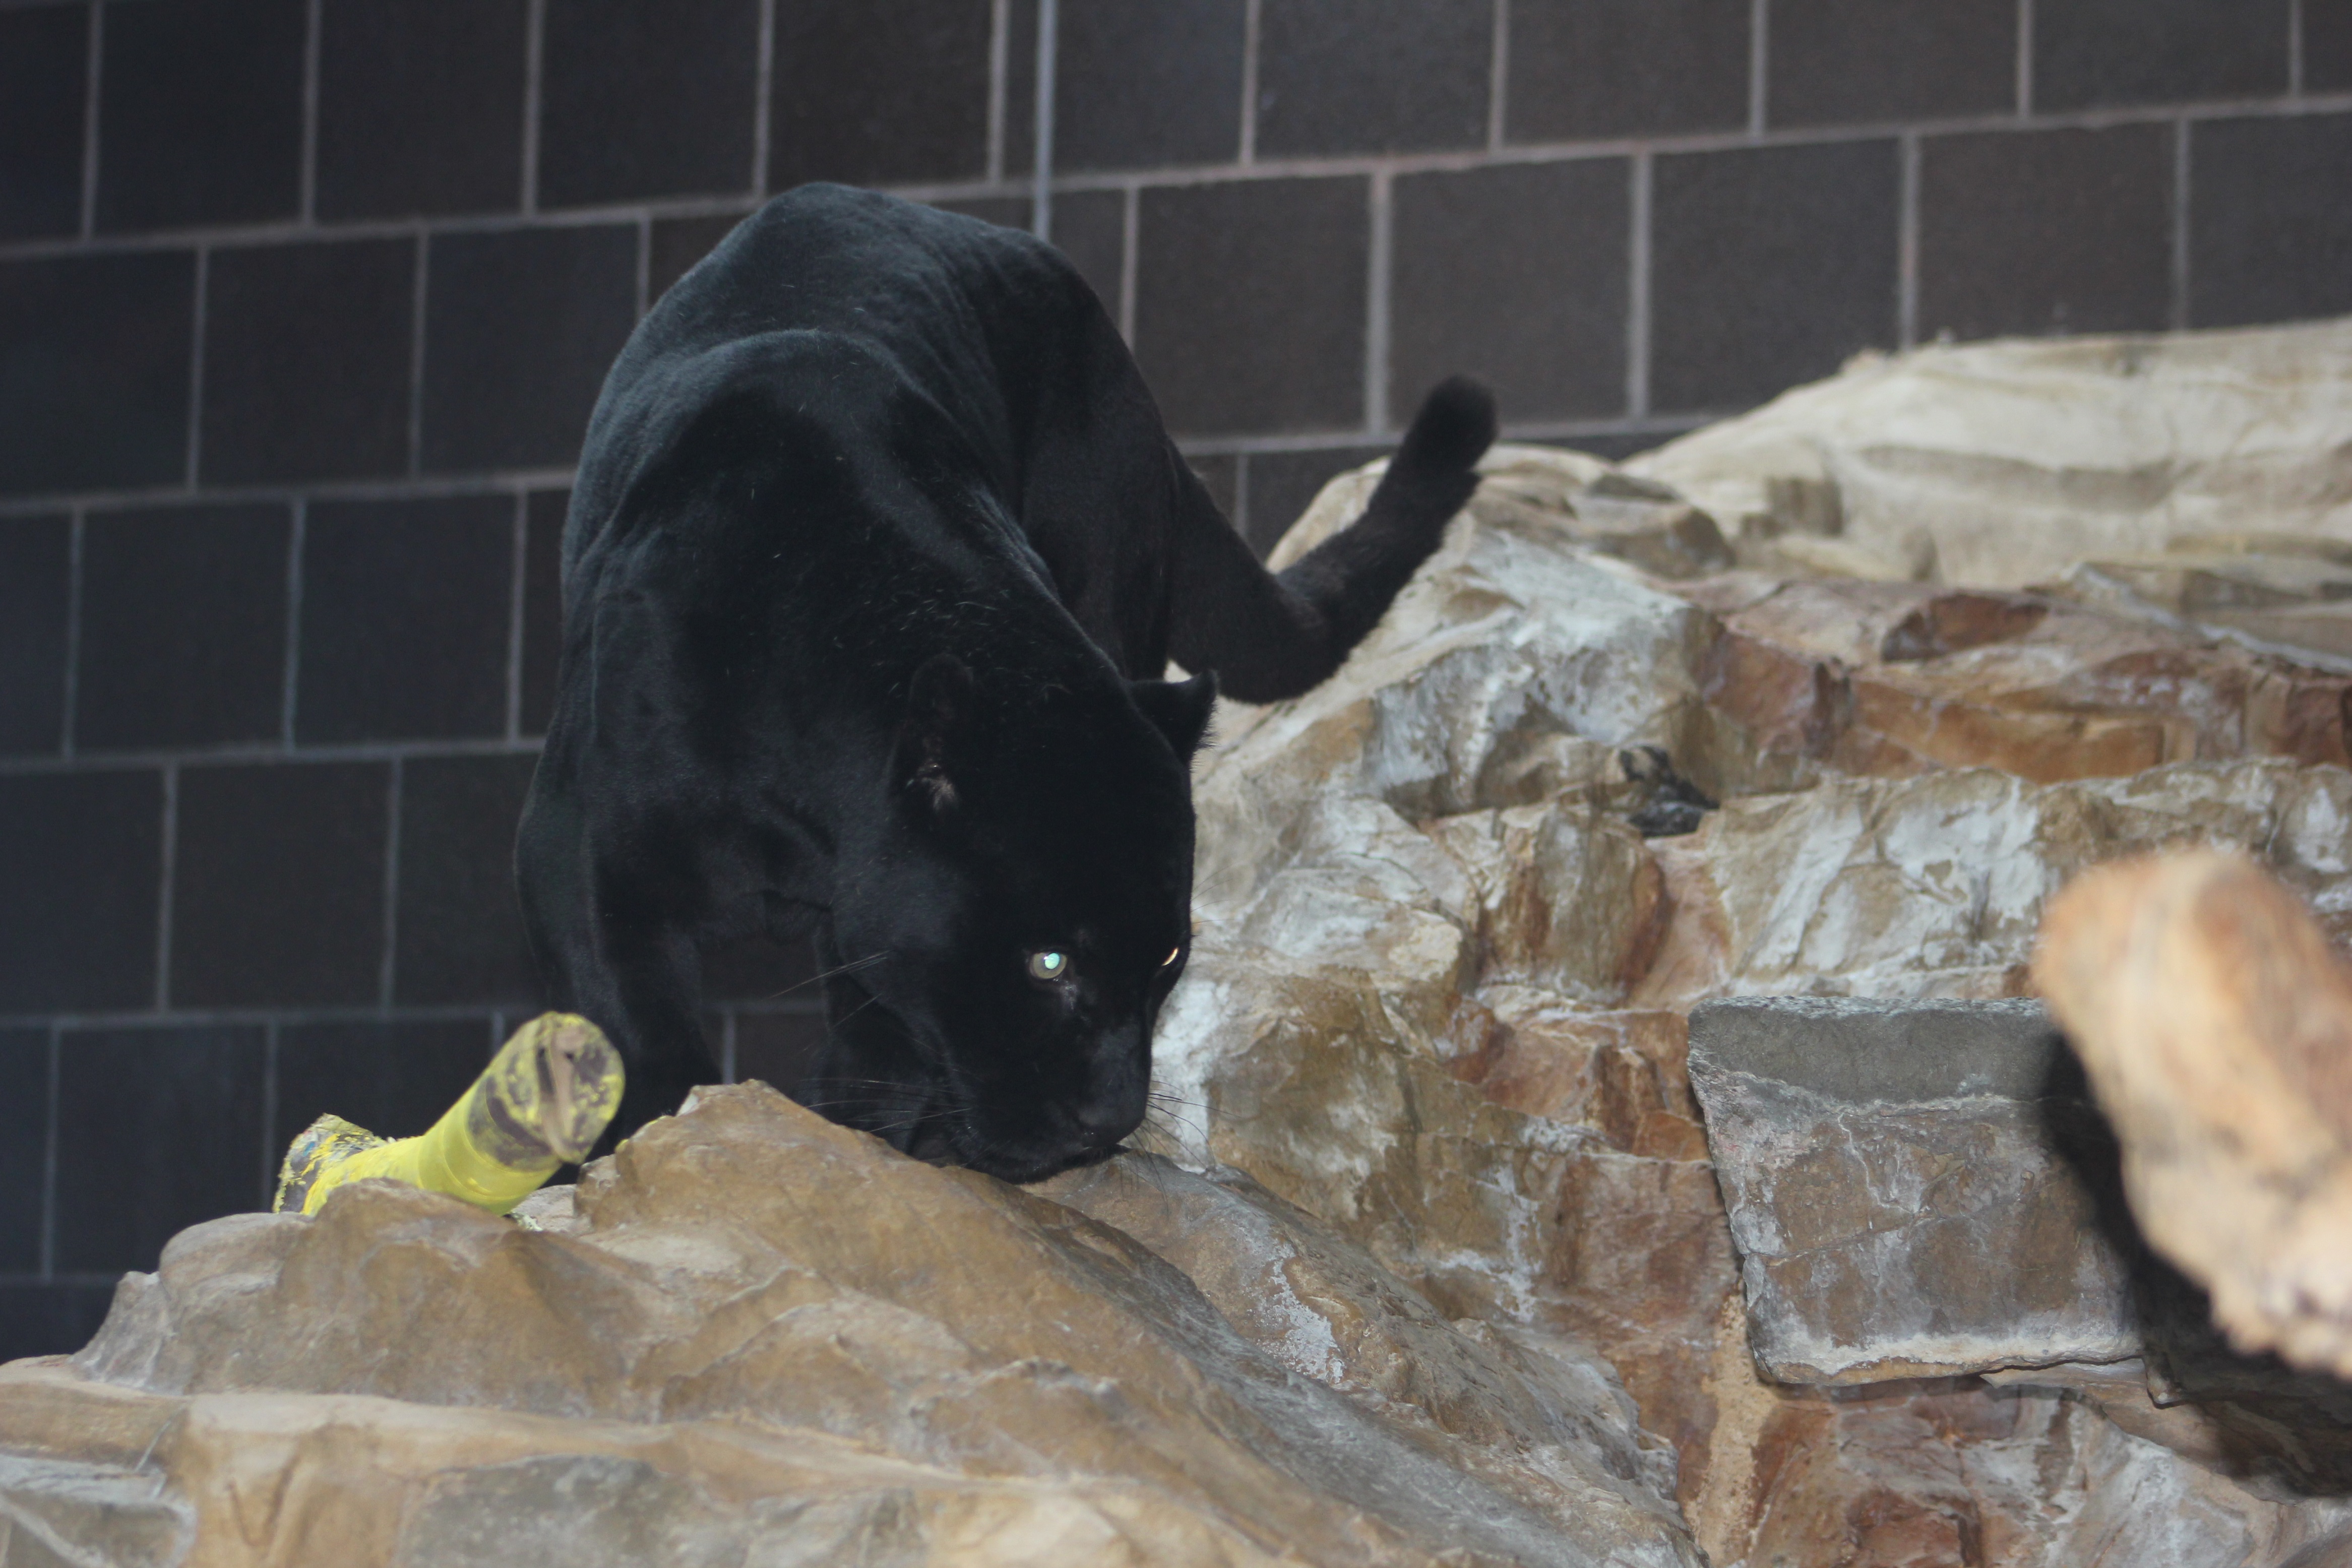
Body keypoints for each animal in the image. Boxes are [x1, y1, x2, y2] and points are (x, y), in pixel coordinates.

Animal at [518, 184, 1495, 1183]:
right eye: (1048, 963)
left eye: (1169, 956)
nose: (1112, 1117)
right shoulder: (579, 850)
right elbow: (632, 1034)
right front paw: (653, 1148)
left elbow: (887, 1029)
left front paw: (868, 1136)